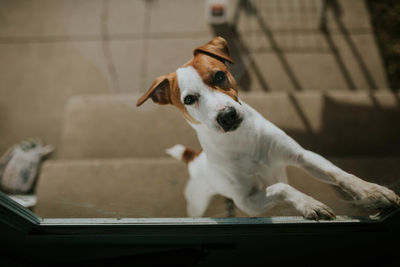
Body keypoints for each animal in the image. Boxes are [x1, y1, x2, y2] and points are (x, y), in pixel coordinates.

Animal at [136, 36, 398, 220]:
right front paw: (309, 204)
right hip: (197, 201)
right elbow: (282, 187)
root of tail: (194, 159)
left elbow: (340, 174)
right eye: (189, 99)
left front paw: (373, 192)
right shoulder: (248, 202)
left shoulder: (303, 155)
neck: (242, 139)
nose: (228, 116)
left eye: (219, 75)